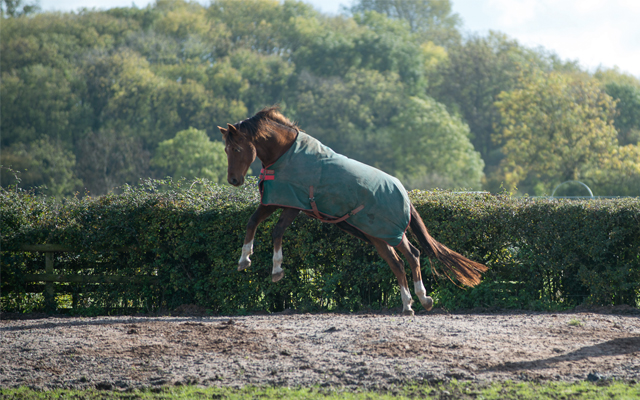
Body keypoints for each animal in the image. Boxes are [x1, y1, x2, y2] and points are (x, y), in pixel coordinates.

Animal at [218, 106, 487, 316]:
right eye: (226, 150)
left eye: (238, 149)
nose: (233, 180)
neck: (286, 153)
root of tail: (404, 193)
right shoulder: (280, 201)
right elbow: (257, 223)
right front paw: (251, 261)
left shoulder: (289, 202)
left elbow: (271, 229)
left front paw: (269, 267)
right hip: (376, 236)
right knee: (398, 262)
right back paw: (409, 303)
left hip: (387, 232)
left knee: (412, 255)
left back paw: (422, 298)